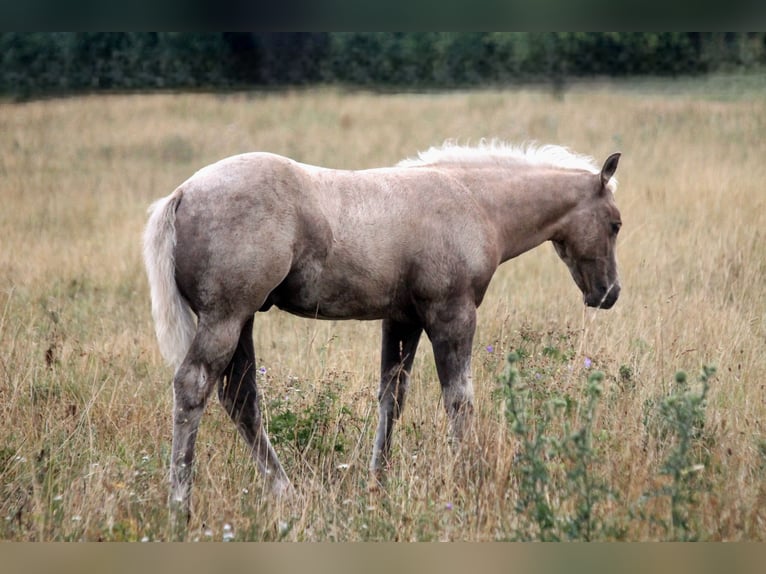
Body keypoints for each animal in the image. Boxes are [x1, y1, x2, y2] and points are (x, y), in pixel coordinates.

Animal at [142, 140, 622, 523]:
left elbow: (392, 398)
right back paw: (181, 506)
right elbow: (459, 400)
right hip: (226, 317)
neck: (474, 201)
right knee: (194, 387)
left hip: (242, 321)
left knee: (240, 398)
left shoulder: (402, 319)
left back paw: (286, 493)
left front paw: (378, 484)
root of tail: (182, 194)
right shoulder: (452, 313)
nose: (609, 293)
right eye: (615, 224)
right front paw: (470, 477)